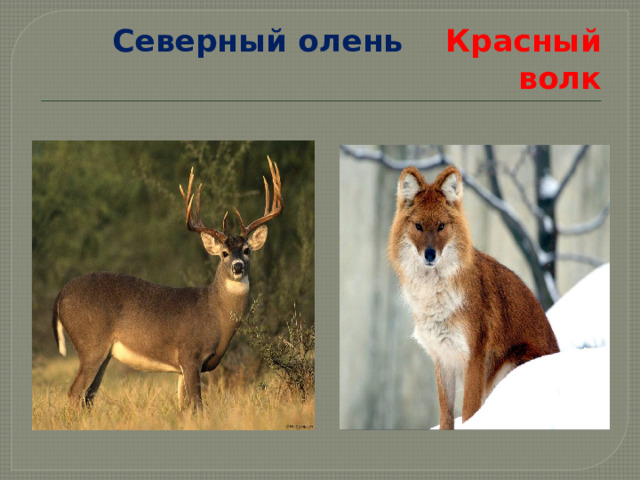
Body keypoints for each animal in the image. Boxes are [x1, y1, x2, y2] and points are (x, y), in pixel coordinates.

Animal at [52, 156, 282, 409]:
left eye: (247, 250)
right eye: (223, 253)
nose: (238, 266)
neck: (215, 313)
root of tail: (60, 297)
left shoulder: (182, 368)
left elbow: (185, 406)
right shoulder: (190, 353)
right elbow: (198, 405)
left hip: (103, 354)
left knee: (88, 397)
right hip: (91, 343)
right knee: (75, 392)